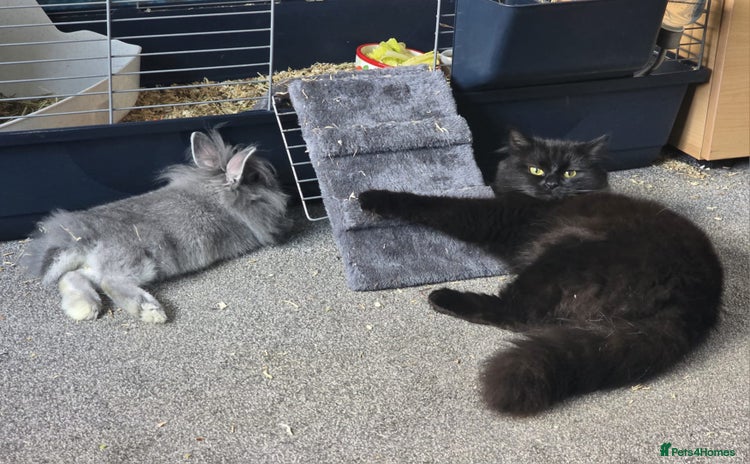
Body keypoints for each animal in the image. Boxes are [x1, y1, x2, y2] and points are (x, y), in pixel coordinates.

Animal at [20, 130, 291, 323]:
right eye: (256, 180)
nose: (281, 190)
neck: (217, 192)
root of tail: (81, 237)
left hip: (95, 266)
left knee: (71, 277)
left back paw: (85, 309)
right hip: (137, 262)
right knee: (110, 282)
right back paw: (150, 312)